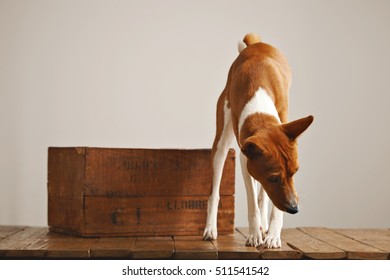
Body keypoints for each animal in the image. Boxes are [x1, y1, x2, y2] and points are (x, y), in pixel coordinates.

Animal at [204, 34, 314, 248]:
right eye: (273, 178)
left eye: (295, 172)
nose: (294, 209)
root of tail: (255, 44)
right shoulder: (244, 159)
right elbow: (252, 202)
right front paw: (255, 234)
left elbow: (269, 204)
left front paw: (273, 235)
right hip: (221, 145)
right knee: (216, 191)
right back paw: (211, 228)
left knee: (263, 197)